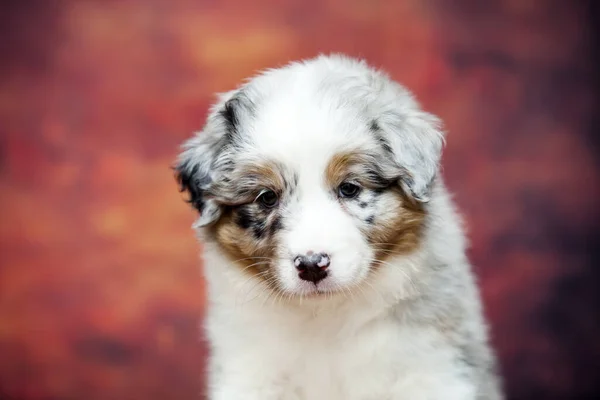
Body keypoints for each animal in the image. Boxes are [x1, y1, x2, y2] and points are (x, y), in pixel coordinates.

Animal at [176, 54, 504, 400]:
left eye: (349, 188)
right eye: (266, 197)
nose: (312, 265)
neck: (327, 316)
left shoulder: (433, 370)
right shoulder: (250, 374)